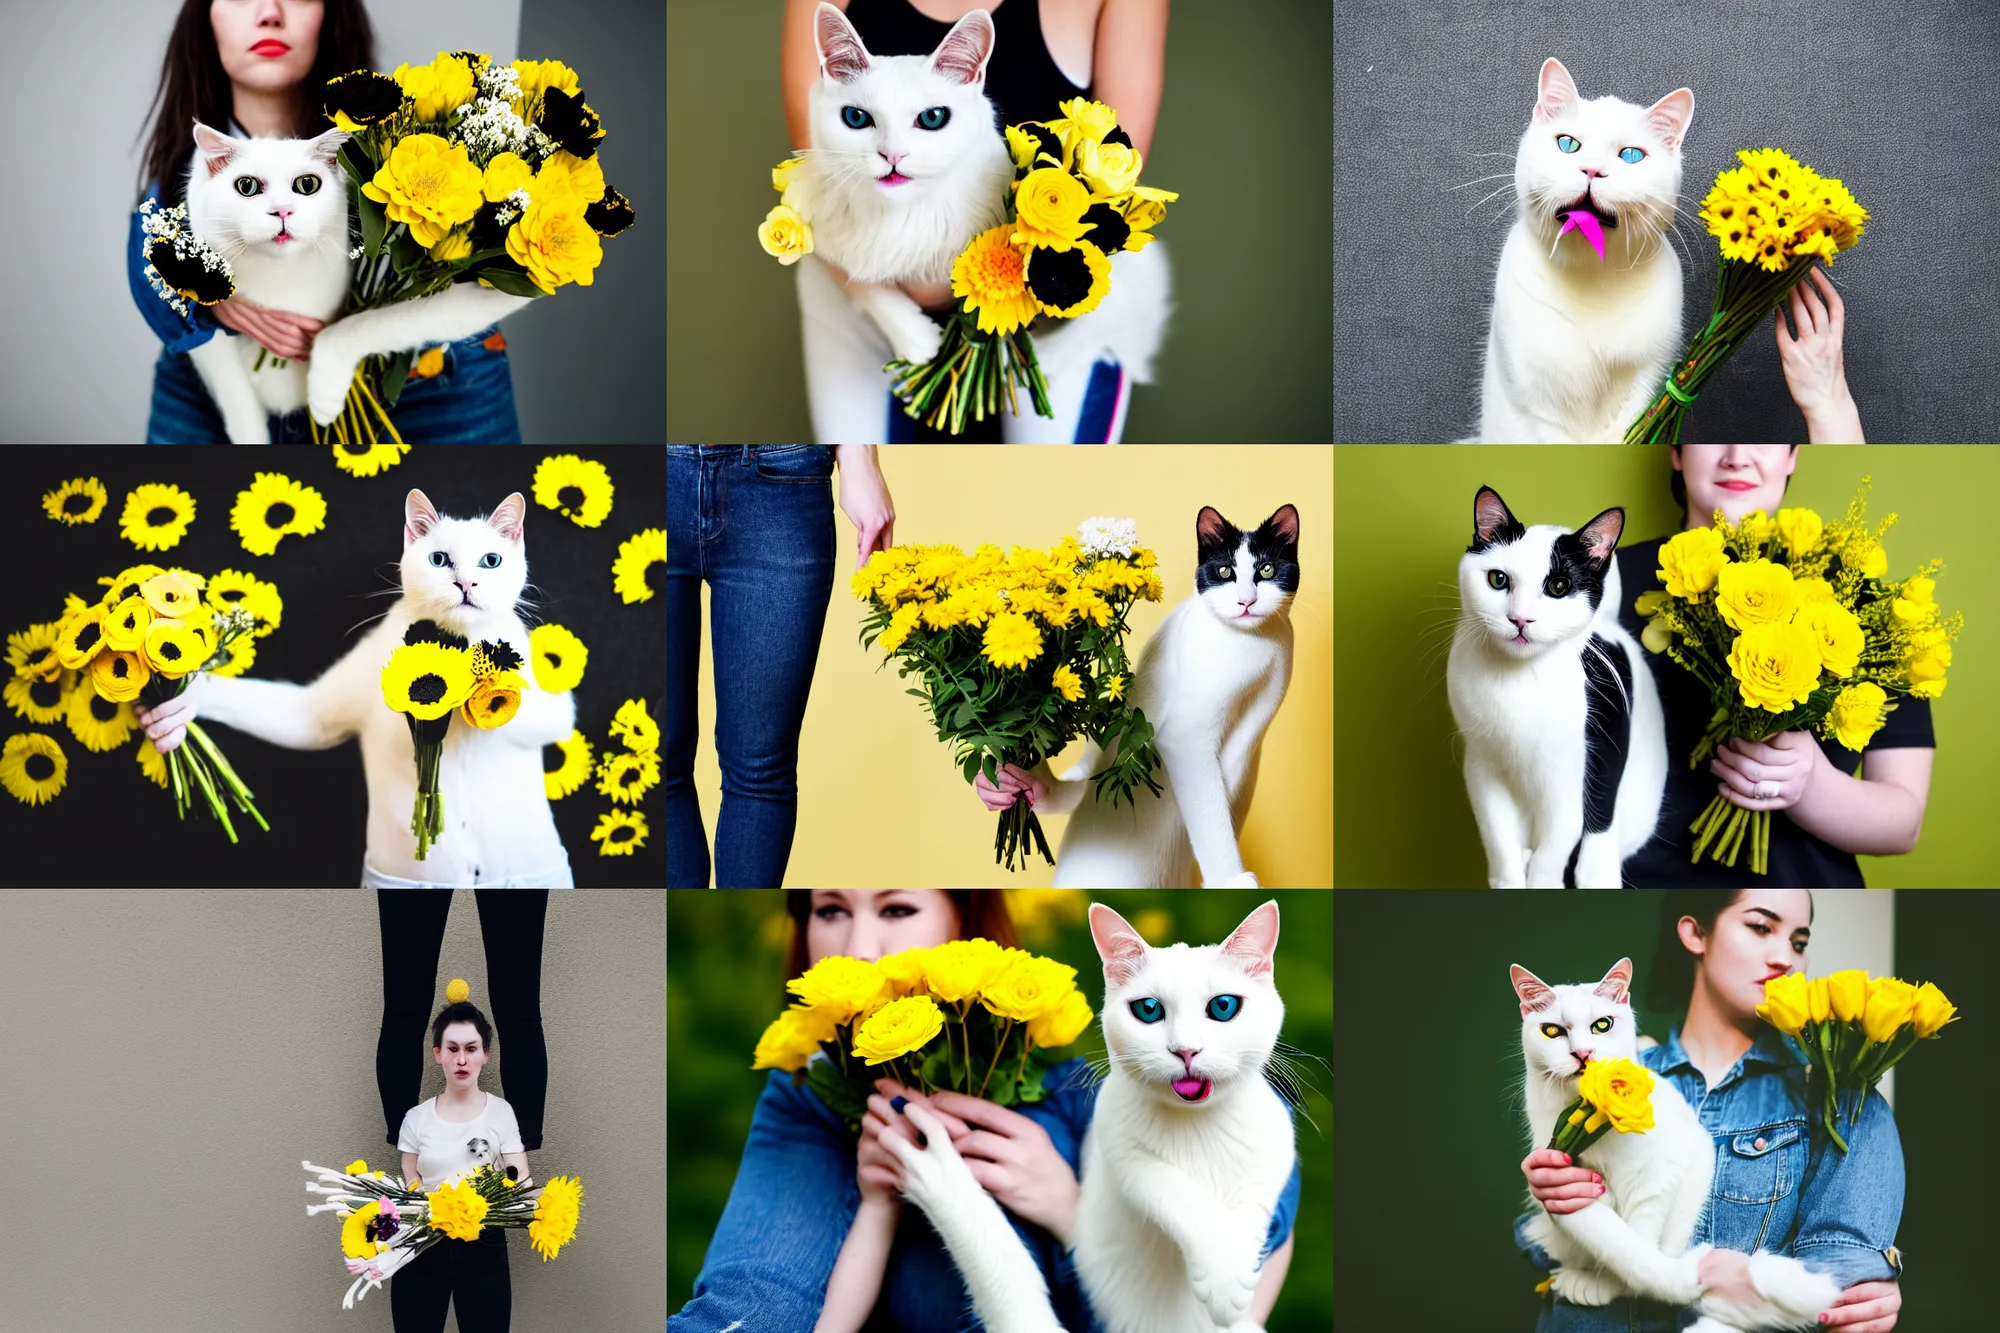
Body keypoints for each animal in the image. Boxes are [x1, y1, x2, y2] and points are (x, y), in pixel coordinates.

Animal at [158, 488, 580, 880]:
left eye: (490, 561)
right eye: (439, 560)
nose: (465, 583)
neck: (452, 640)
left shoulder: (554, 707)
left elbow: (544, 711)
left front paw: (484, 679)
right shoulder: (322, 711)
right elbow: (306, 718)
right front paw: (178, 706)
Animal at [1032, 504, 1296, 888]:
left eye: (1267, 570)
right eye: (1224, 571)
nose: (1246, 601)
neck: (1254, 646)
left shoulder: (1257, 720)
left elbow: (1224, 801)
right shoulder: (1187, 739)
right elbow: (1210, 813)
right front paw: (1232, 879)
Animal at [1448, 486, 1664, 880]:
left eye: (1558, 587)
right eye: (1498, 579)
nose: (1520, 619)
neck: (1519, 679)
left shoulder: (1571, 778)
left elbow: (1553, 851)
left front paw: (1542, 878)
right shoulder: (1482, 768)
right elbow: (1499, 843)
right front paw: (1508, 878)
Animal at [1472, 58, 1688, 440]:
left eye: (1631, 155)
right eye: (1568, 145)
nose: (1592, 170)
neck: (1592, 272)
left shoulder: (1645, 380)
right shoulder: (1540, 406)